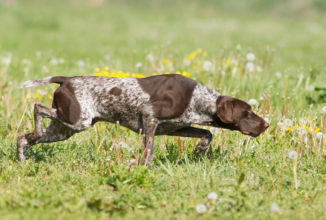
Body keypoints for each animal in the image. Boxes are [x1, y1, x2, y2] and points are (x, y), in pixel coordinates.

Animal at [16, 74, 268, 165]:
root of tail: (66, 80)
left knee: (23, 138)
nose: (266, 124)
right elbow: (149, 150)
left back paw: (22, 156)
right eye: (248, 113)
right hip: (78, 120)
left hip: (64, 128)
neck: (198, 98)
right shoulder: (149, 117)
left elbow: (207, 132)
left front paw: (201, 148)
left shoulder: (174, 127)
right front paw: (143, 167)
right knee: (37, 108)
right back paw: (35, 132)